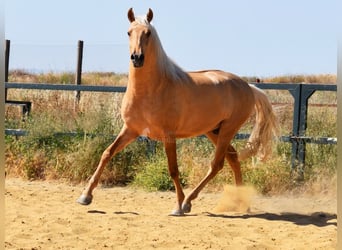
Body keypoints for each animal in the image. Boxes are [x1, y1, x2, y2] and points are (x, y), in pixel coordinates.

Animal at [77, 7, 278, 215]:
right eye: (129, 32)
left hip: (228, 130)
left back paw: (189, 202)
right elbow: (107, 153)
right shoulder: (130, 129)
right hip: (214, 131)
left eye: (148, 33)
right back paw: (242, 204)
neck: (153, 89)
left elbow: (173, 168)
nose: (137, 58)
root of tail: (248, 86)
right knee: (233, 158)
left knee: (216, 164)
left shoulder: (168, 135)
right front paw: (85, 196)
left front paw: (178, 206)